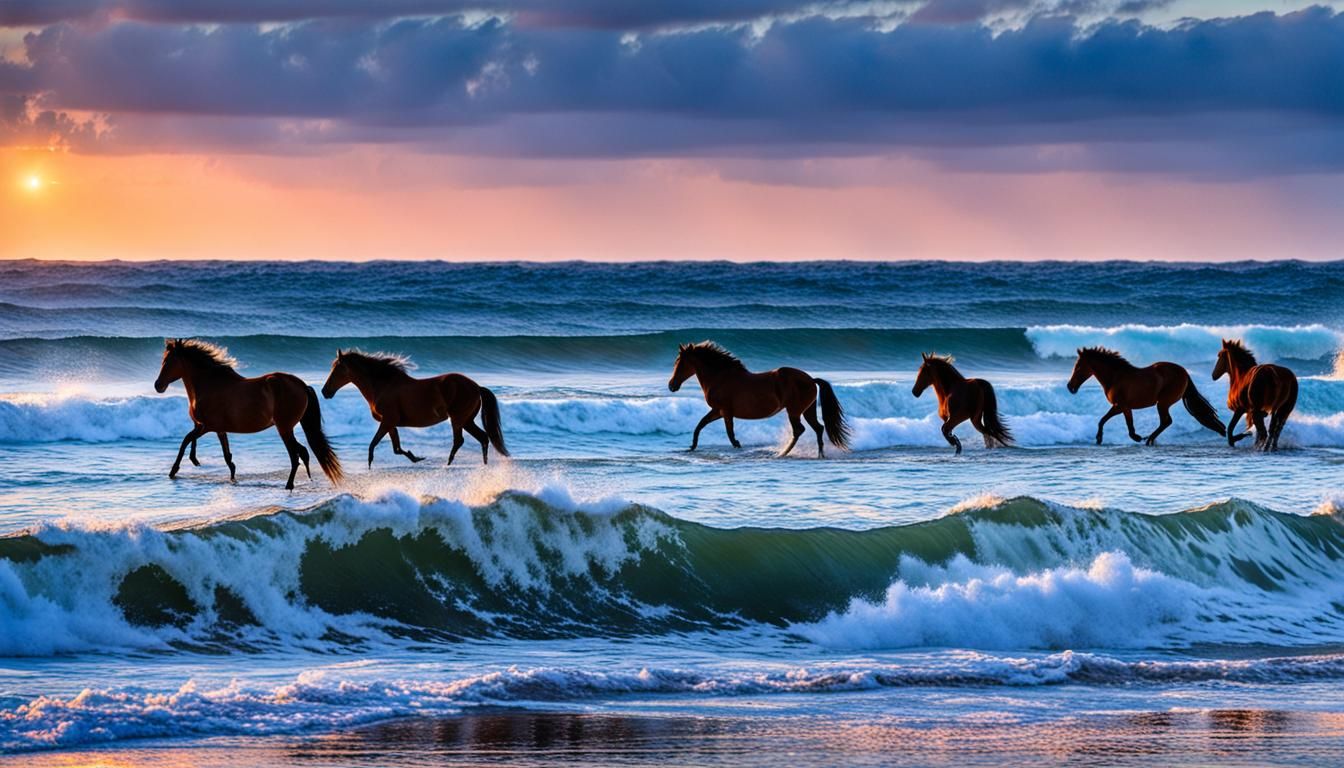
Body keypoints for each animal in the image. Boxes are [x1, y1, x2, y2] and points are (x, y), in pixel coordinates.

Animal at [153, 339, 342, 489]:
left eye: (169, 361)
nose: (158, 385)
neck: (210, 384)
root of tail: (302, 385)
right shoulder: (217, 429)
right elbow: (225, 454)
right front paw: (230, 473)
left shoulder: (208, 426)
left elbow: (186, 440)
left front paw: (175, 470)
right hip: (287, 428)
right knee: (303, 452)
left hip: (284, 428)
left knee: (296, 455)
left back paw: (289, 485)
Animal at [322, 349, 508, 468]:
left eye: (337, 369)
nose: (325, 391)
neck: (382, 385)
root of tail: (476, 387)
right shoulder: (391, 424)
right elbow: (396, 449)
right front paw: (416, 457)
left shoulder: (387, 421)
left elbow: (374, 445)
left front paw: (370, 463)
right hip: (466, 420)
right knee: (483, 438)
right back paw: (483, 465)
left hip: (458, 419)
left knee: (460, 441)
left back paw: (447, 464)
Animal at [667, 341, 850, 457]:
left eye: (679, 362)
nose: (672, 385)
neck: (720, 377)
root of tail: (811, 380)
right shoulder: (717, 411)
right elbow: (699, 426)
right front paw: (691, 447)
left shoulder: (725, 412)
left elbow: (730, 434)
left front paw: (738, 446)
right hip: (807, 411)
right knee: (818, 428)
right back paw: (819, 455)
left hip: (794, 411)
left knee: (799, 430)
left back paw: (782, 453)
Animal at [1067, 346, 1225, 446]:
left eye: (1078, 367)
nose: (1070, 387)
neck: (1115, 377)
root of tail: (1184, 372)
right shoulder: (1121, 407)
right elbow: (1105, 421)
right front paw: (1099, 439)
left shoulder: (1122, 406)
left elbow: (1123, 424)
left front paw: (1137, 437)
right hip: (1163, 403)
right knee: (1166, 422)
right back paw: (1150, 439)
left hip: (1162, 403)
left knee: (1166, 421)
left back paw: (1149, 439)